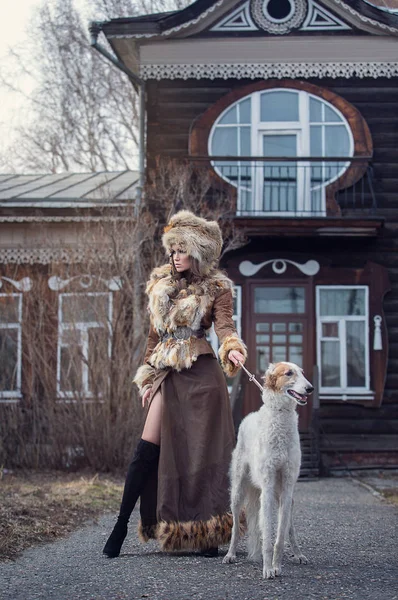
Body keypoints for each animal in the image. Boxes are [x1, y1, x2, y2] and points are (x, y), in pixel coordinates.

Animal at [224, 364, 314, 580]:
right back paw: (230, 554)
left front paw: (276, 566)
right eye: (288, 373)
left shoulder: (287, 486)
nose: (310, 388)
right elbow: (267, 535)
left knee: (290, 528)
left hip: (285, 498)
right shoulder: (268, 487)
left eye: (302, 372)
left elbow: (279, 537)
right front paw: (268, 568)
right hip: (238, 492)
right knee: (235, 528)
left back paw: (298, 554)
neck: (280, 417)